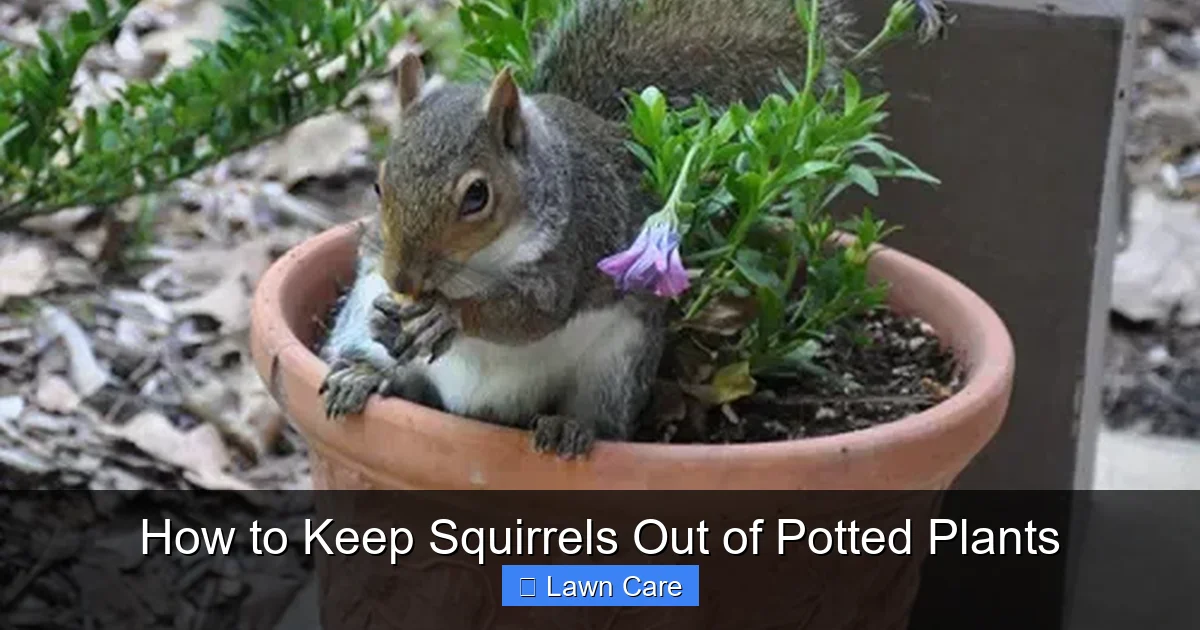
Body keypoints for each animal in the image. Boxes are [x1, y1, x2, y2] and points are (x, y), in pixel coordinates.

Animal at [318, 0, 860, 458]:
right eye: (378, 185)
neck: (476, 265)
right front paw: (390, 316)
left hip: (615, 367)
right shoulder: (375, 258)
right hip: (360, 326)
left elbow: (529, 316)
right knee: (392, 373)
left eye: (477, 196)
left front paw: (448, 316)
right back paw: (360, 376)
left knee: (602, 419)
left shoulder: (570, 254)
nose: (403, 280)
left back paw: (569, 428)